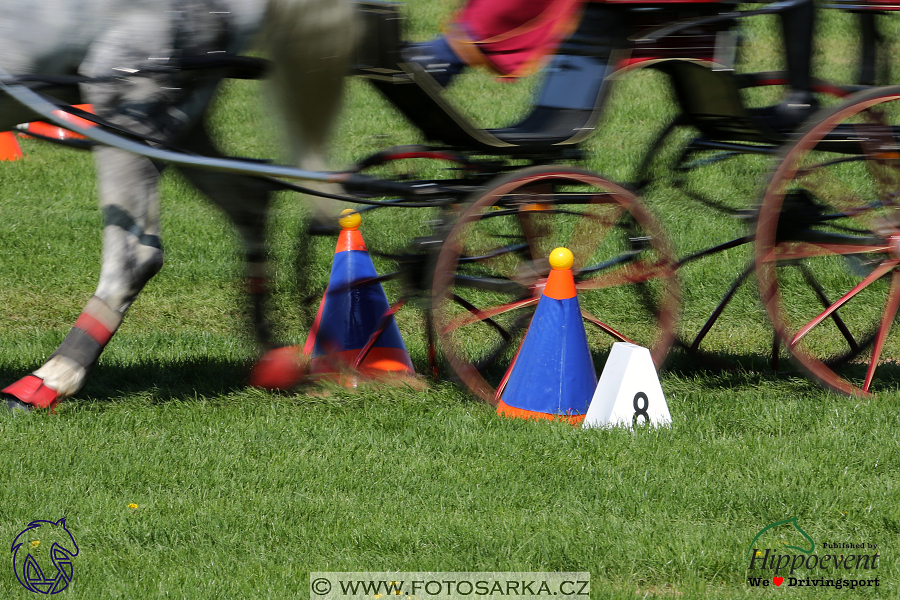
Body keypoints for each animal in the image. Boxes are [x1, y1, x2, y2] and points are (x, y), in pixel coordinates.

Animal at [0, 0, 358, 408]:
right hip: (179, 117)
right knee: (247, 197)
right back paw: (269, 351)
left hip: (129, 107)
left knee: (136, 258)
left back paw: (52, 378)